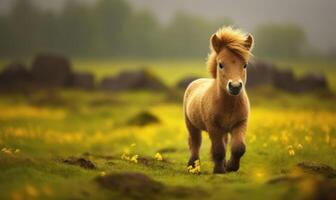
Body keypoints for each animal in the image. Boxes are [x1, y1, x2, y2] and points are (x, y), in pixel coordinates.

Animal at [184, 26, 252, 173]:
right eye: (220, 64)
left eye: (245, 65)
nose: (235, 86)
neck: (229, 104)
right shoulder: (213, 127)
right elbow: (219, 149)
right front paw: (219, 170)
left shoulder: (240, 124)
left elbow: (239, 147)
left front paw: (230, 167)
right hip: (191, 125)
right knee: (195, 142)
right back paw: (193, 166)